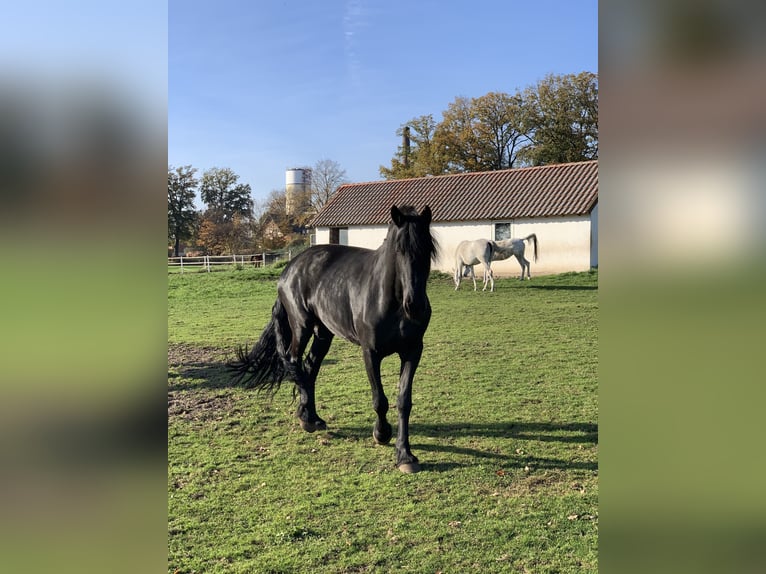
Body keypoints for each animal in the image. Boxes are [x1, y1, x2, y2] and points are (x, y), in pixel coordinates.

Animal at [228, 205, 437, 474]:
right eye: (399, 250)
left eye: (428, 249)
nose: (416, 306)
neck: (391, 301)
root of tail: (291, 267)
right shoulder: (370, 352)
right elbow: (379, 400)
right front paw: (381, 434)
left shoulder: (412, 351)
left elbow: (404, 401)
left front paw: (405, 455)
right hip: (302, 327)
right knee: (294, 362)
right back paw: (308, 419)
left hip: (323, 333)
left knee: (309, 368)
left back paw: (309, 415)